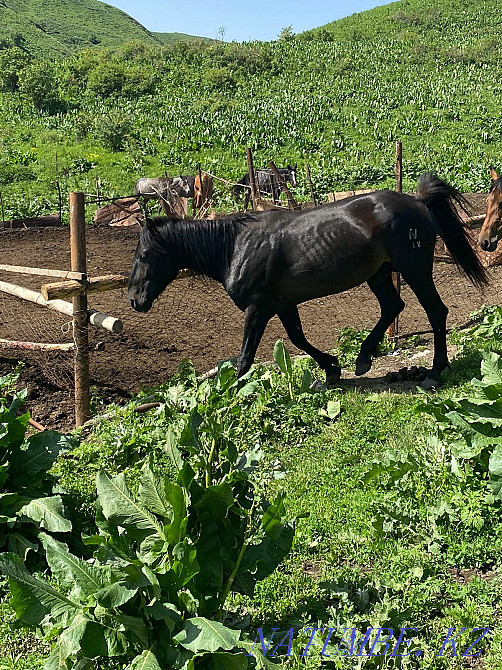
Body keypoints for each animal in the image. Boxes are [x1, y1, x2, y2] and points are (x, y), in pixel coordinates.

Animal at [128, 173, 487, 390]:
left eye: (144, 255)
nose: (134, 299)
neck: (235, 248)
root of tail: (417, 202)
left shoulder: (258, 308)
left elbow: (245, 357)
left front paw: (230, 398)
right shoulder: (283, 305)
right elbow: (298, 340)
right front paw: (332, 369)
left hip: (414, 270)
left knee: (435, 312)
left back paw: (435, 373)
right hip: (379, 274)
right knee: (392, 306)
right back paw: (363, 359)